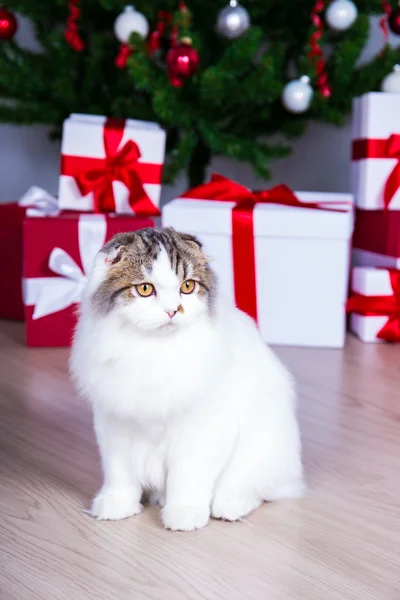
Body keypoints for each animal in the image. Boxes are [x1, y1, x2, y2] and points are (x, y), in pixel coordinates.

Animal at [70, 227, 304, 532]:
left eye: (188, 287)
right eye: (145, 289)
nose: (173, 311)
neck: (153, 351)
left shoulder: (202, 432)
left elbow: (188, 478)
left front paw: (184, 513)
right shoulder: (115, 425)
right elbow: (120, 475)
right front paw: (118, 505)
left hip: (261, 449)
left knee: (252, 488)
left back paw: (229, 505)